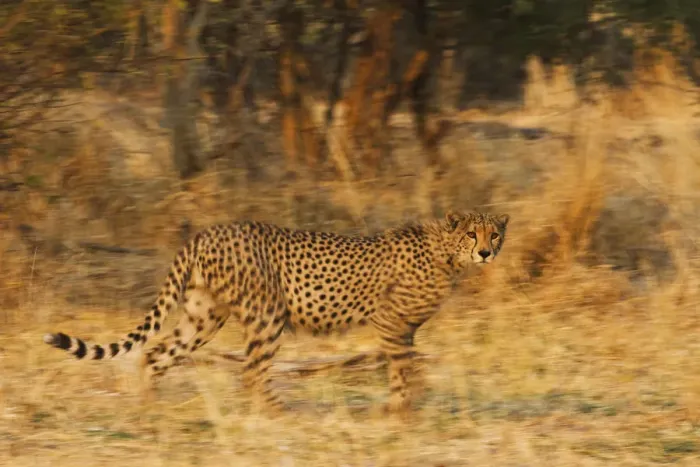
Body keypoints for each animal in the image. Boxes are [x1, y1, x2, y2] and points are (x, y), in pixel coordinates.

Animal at [43, 211, 510, 414]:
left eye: (495, 233)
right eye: (473, 233)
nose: (487, 252)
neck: (446, 253)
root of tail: (208, 231)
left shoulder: (402, 328)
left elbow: (405, 367)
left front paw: (402, 408)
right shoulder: (390, 321)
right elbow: (405, 368)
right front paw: (402, 409)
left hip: (204, 316)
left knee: (157, 352)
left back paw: (149, 409)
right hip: (268, 313)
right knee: (251, 370)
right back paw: (278, 413)